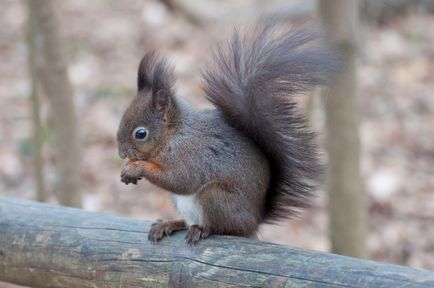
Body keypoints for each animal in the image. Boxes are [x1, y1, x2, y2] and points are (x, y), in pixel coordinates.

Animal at [117, 19, 338, 245]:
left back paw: (200, 229)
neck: (173, 134)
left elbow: (181, 180)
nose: (122, 153)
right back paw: (170, 224)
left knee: (221, 228)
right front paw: (127, 168)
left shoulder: (191, 155)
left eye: (140, 134)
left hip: (216, 197)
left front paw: (136, 168)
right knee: (188, 221)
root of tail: (254, 221)